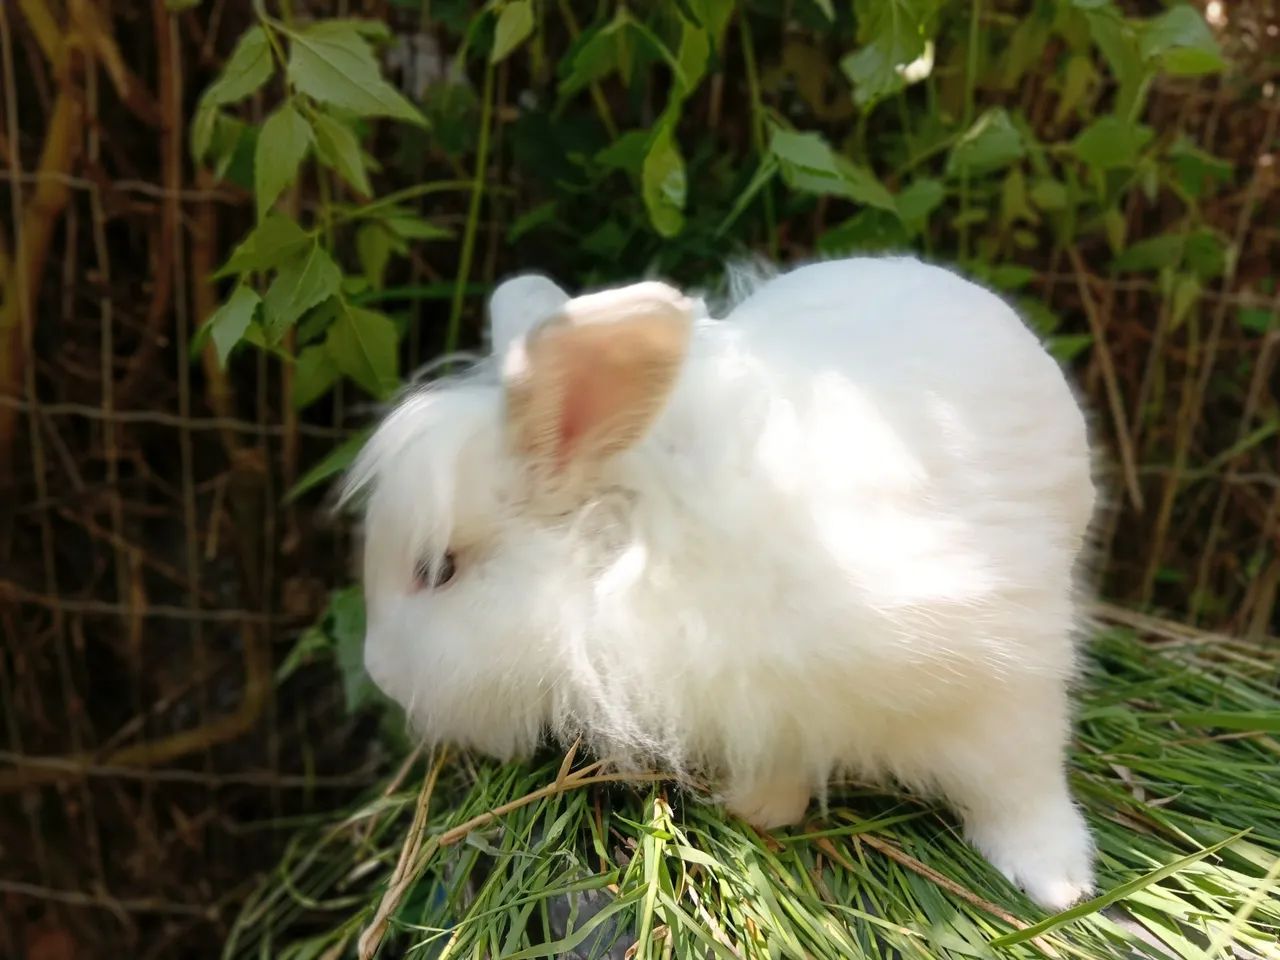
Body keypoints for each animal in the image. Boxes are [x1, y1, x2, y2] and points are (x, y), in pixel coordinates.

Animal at [343, 255, 1099, 911]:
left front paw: (1058, 882)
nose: (377, 673)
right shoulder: (769, 711)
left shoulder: (997, 680)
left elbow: (1017, 783)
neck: (647, 555)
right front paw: (760, 808)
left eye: (437, 570)